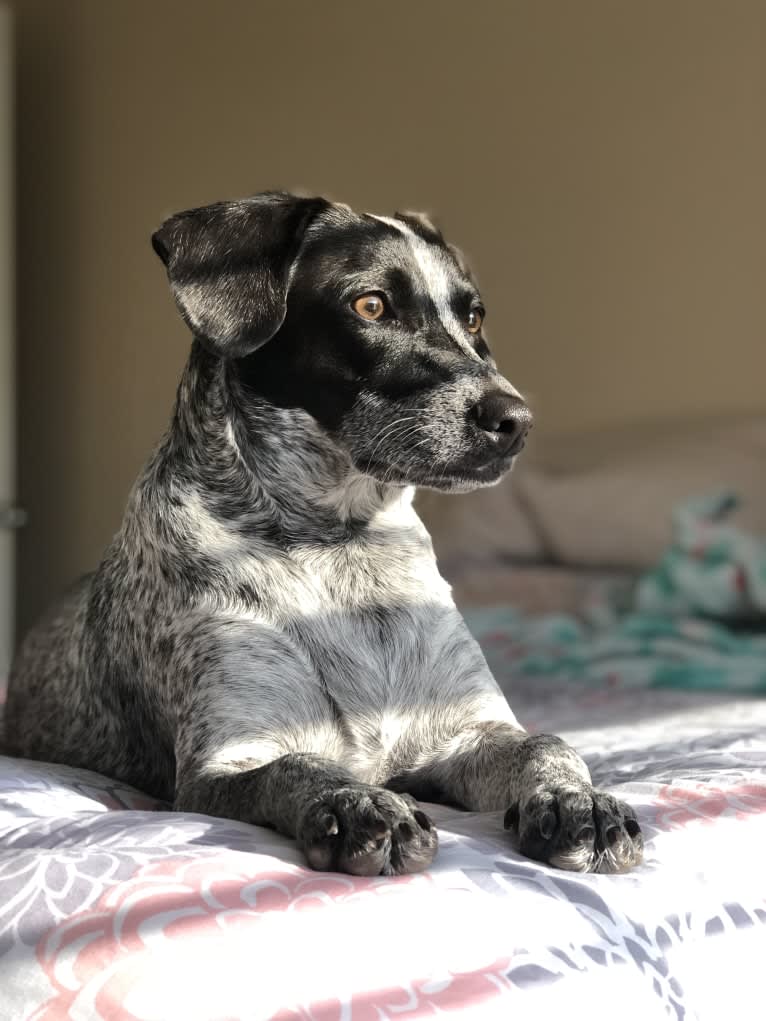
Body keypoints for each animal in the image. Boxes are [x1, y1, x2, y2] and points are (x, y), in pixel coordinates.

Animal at [3, 192, 645, 878]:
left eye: (473, 318)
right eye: (371, 306)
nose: (516, 421)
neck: (337, 543)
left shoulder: (467, 735)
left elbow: (547, 745)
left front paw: (579, 802)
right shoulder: (221, 766)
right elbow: (299, 766)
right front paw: (359, 804)